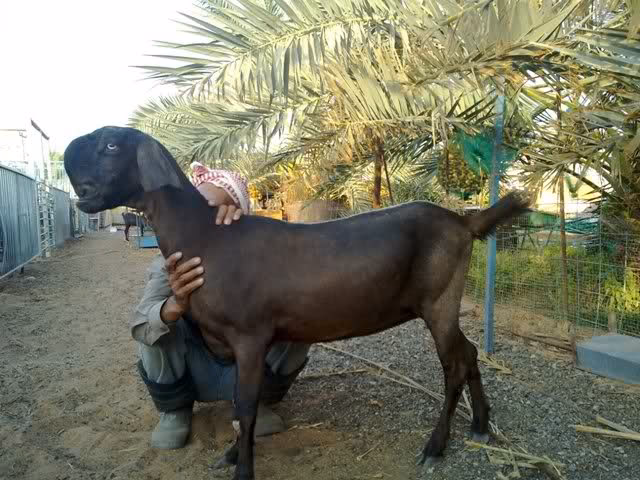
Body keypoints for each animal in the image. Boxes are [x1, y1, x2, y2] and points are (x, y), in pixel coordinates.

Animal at [64, 126, 530, 480]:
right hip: (444, 302)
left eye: (111, 145)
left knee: (453, 365)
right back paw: (480, 424)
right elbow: (240, 406)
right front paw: (231, 455)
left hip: (438, 299)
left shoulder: (250, 336)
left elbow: (246, 406)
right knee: (470, 353)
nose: (67, 153)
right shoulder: (233, 343)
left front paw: (243, 471)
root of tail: (464, 220)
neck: (206, 237)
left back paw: (435, 446)